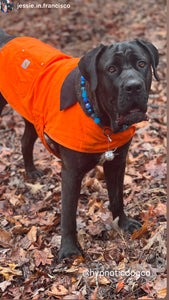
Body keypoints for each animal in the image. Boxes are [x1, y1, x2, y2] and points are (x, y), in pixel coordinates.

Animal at [0, 29, 159, 262]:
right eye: (111, 69)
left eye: (141, 63)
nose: (133, 86)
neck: (103, 121)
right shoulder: (71, 173)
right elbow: (68, 214)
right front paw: (68, 250)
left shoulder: (117, 162)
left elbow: (117, 197)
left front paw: (123, 223)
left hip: (32, 115)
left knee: (25, 142)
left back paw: (31, 172)